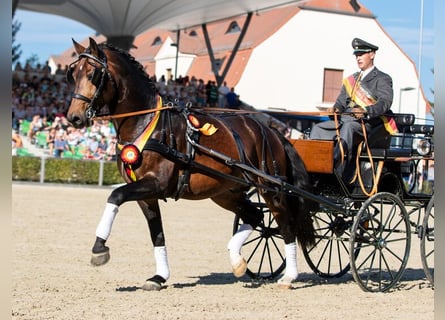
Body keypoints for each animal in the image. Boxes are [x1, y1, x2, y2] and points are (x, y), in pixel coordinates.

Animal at [66, 37, 316, 290]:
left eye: (92, 74)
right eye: (73, 74)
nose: (74, 117)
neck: (147, 124)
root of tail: (273, 131)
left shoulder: (156, 183)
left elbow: (115, 195)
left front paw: (99, 248)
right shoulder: (146, 195)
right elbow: (157, 234)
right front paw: (159, 276)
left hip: (271, 189)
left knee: (285, 224)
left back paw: (289, 276)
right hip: (226, 192)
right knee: (255, 218)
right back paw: (237, 261)